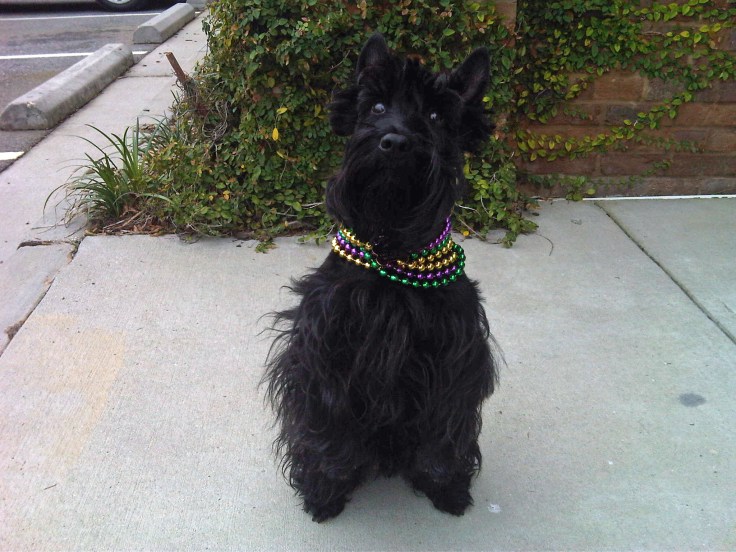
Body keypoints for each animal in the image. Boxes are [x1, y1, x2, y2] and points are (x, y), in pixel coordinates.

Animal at [265, 33, 497, 522]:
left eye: (436, 116)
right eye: (376, 106)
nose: (394, 141)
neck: (393, 247)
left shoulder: (455, 357)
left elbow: (445, 429)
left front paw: (445, 485)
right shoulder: (325, 349)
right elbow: (328, 424)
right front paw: (326, 488)